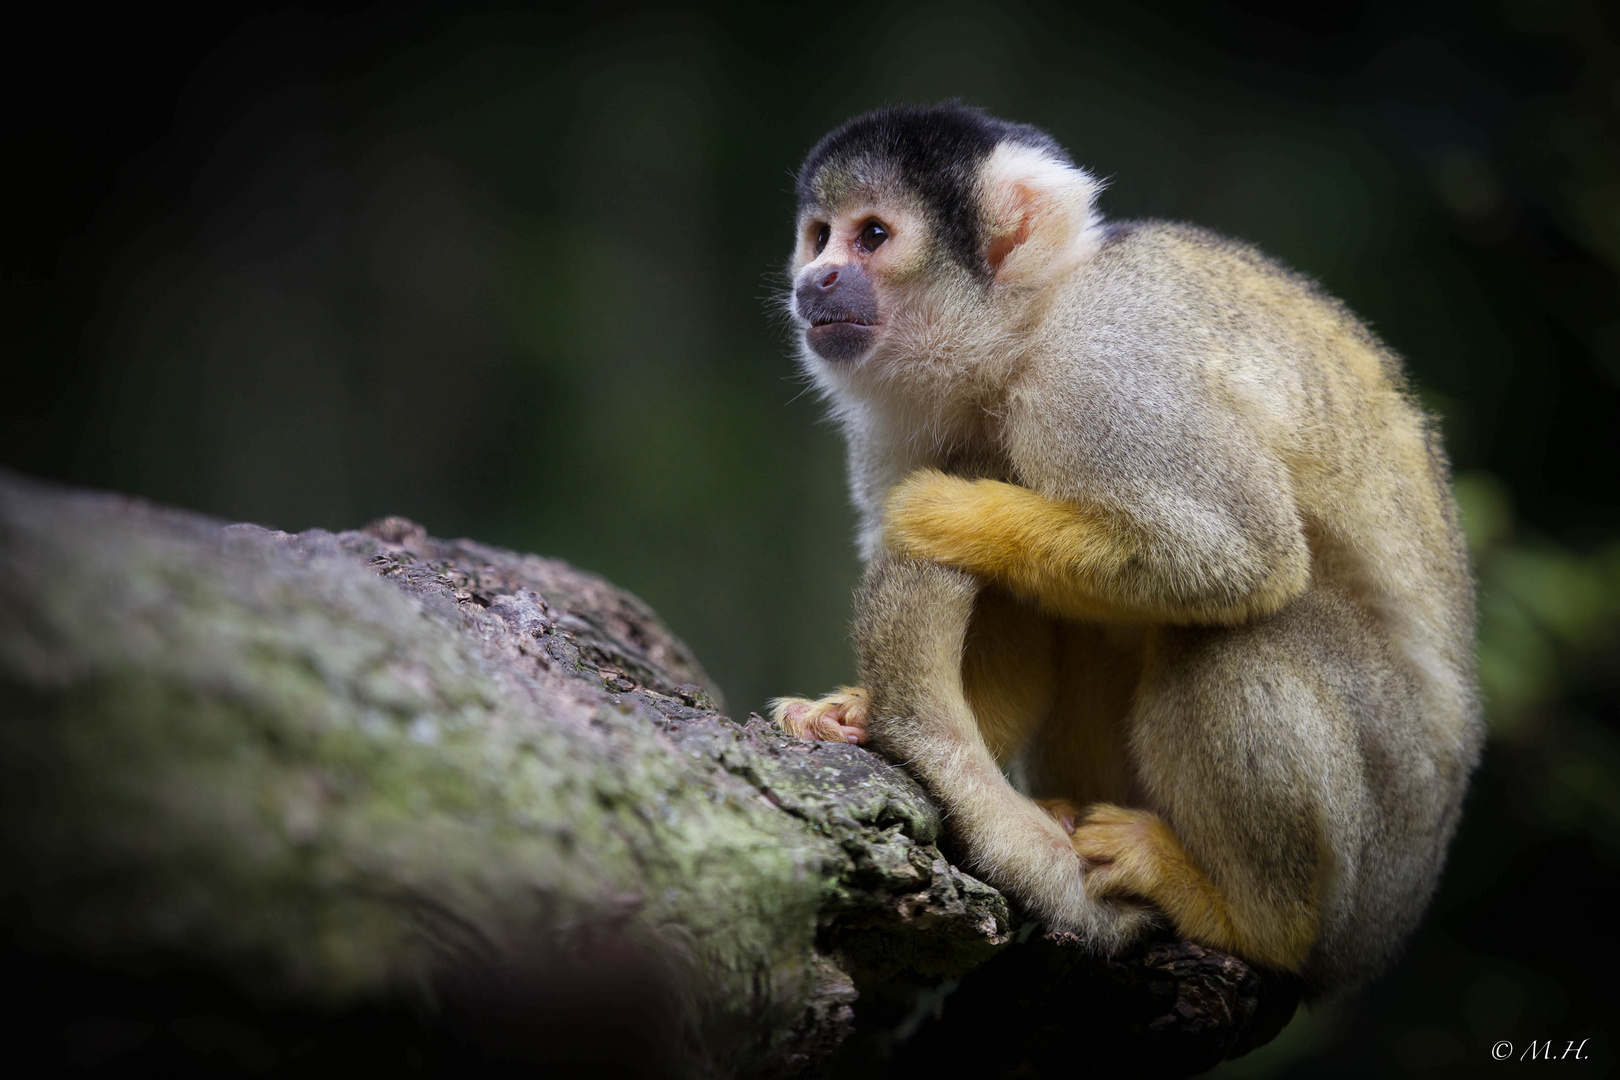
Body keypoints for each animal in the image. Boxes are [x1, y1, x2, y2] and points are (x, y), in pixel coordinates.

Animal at [771, 105, 1483, 990]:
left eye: (871, 236)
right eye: (818, 236)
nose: (815, 280)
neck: (1021, 336)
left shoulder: (1104, 368)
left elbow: (1240, 556)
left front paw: (948, 512)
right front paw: (860, 711)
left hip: (1380, 847)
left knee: (1238, 638)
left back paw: (1254, 920)